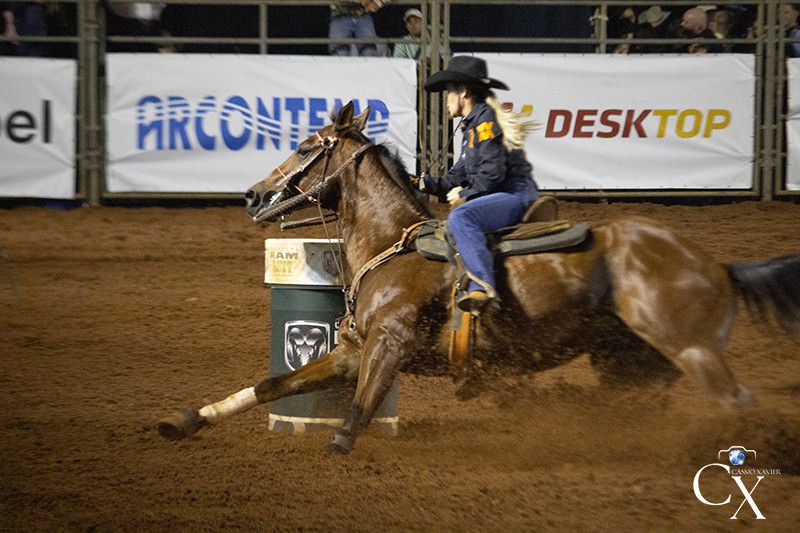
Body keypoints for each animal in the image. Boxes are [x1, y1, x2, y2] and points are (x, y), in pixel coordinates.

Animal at [158, 101, 800, 455]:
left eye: (304, 147)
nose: (252, 195)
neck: (391, 246)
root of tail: (714, 264)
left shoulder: (389, 346)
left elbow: (352, 424)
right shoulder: (352, 352)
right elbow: (271, 385)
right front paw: (184, 421)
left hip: (689, 348)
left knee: (736, 402)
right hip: (629, 363)